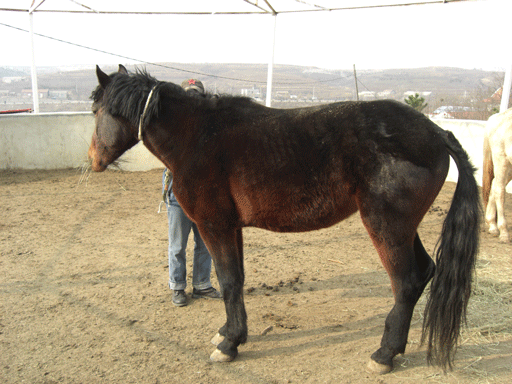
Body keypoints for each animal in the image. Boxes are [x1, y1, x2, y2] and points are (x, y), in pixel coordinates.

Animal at [87, 64, 480, 374]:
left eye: (95, 110)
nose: (93, 159)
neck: (197, 137)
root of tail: (436, 133)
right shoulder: (232, 228)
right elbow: (236, 280)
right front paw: (229, 333)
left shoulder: (215, 226)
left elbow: (228, 280)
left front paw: (229, 345)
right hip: (403, 228)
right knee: (425, 272)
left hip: (386, 227)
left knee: (406, 282)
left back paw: (384, 355)